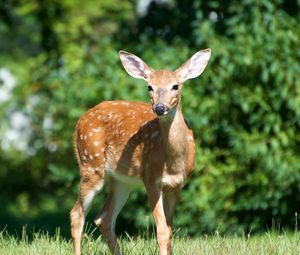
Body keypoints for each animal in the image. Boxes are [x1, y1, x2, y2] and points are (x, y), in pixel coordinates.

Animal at [69, 47, 211, 253]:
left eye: (175, 86)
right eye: (149, 87)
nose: (160, 107)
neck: (173, 162)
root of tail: (79, 122)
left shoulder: (176, 185)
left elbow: (170, 232)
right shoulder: (150, 178)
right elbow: (162, 232)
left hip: (122, 180)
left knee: (104, 218)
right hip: (91, 164)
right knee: (77, 214)